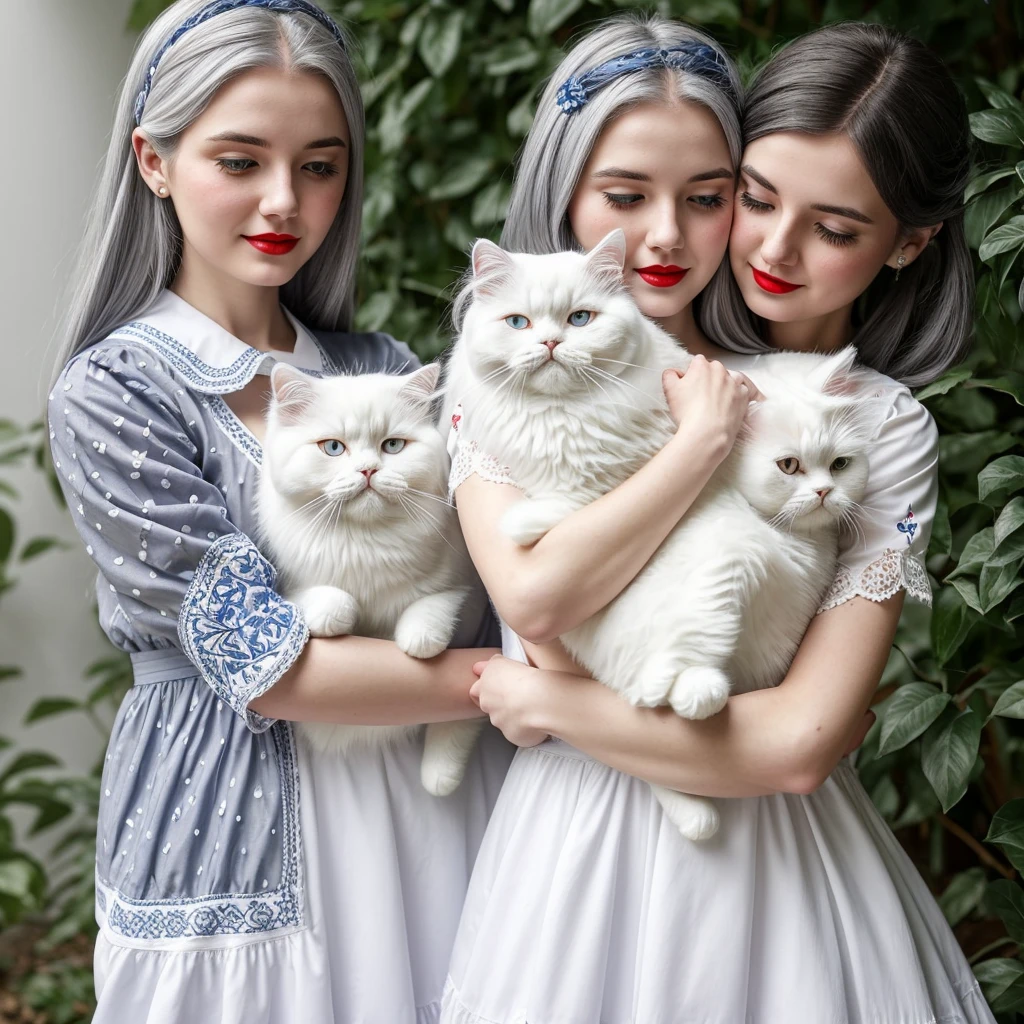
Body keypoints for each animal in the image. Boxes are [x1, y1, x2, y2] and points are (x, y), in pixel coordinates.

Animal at [253, 364, 481, 794]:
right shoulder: (290, 585)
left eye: (392, 446)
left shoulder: (467, 588)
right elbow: (329, 603)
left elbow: (430, 612)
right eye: (333, 448)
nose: (368, 471)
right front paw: (341, 617)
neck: (367, 541)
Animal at [448, 230, 880, 839]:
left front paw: (527, 521)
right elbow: (569, 505)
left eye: (580, 319)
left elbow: (577, 505)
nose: (552, 342)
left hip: (726, 566)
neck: (567, 415)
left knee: (674, 675)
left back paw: (685, 696)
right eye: (518, 323)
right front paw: (529, 520)